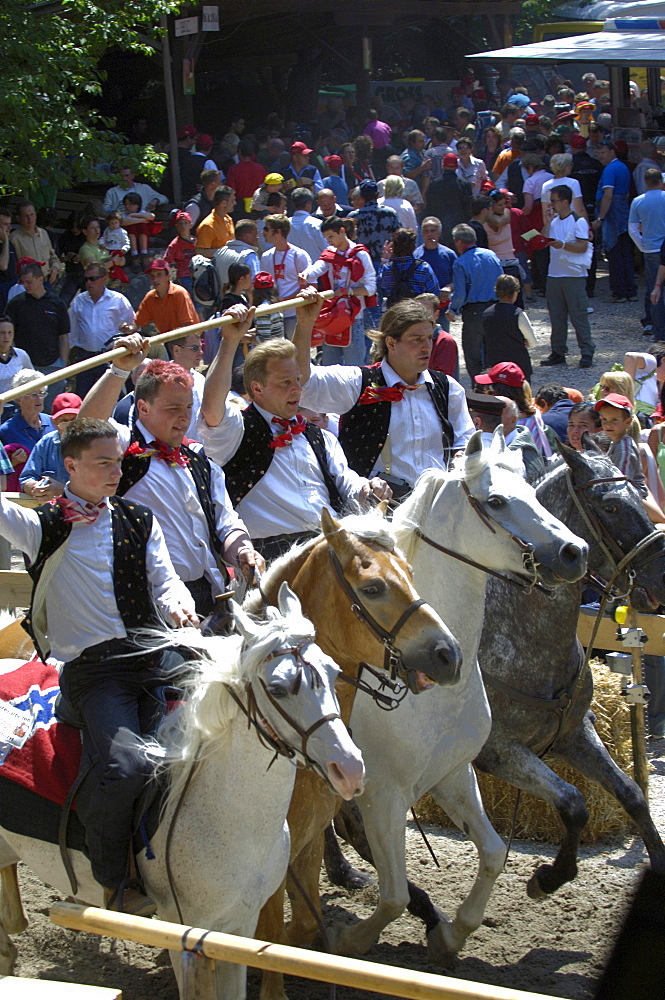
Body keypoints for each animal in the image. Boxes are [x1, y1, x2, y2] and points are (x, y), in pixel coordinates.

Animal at [244, 508, 462, 1000]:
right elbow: (268, 932)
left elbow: (299, 926)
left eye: (410, 574)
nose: (449, 654)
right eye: (373, 587)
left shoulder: (304, 842)